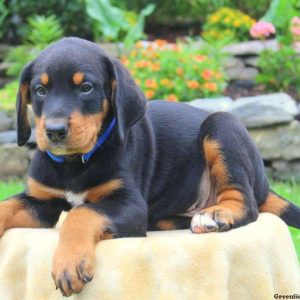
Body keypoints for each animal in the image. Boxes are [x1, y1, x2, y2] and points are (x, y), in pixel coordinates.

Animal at [0, 37, 300, 296]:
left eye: (86, 87)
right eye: (40, 90)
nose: (54, 131)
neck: (75, 164)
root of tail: (263, 183)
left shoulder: (129, 204)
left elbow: (81, 214)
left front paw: (69, 261)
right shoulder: (42, 200)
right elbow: (8, 206)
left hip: (222, 126)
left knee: (246, 204)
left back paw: (214, 216)